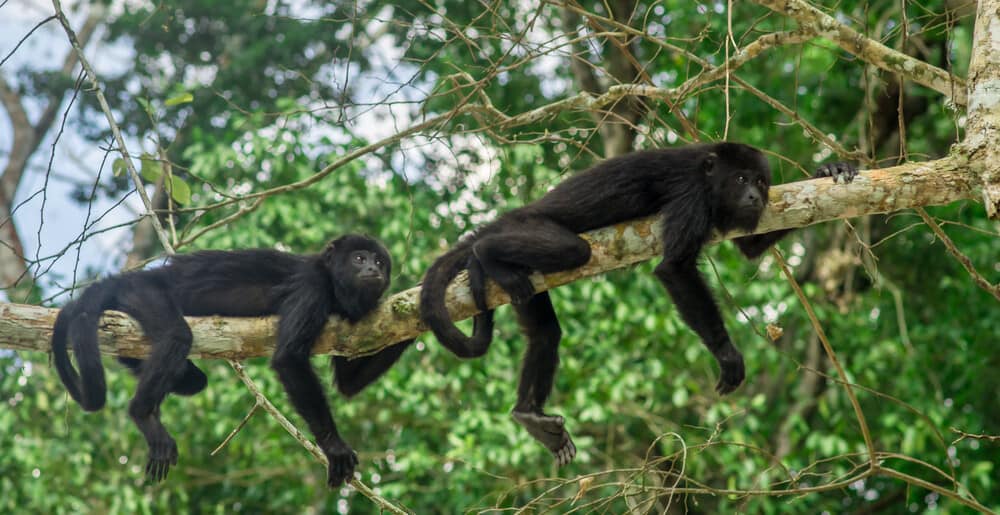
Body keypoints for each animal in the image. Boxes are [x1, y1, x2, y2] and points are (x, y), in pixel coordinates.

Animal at [49, 236, 410, 486]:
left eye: (380, 261)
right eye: (359, 258)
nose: (373, 269)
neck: (335, 285)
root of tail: (132, 276)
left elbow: (347, 384)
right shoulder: (313, 286)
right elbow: (289, 358)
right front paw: (334, 447)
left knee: (193, 380)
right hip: (144, 294)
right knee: (177, 336)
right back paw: (144, 414)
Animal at [422, 142, 860, 468]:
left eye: (761, 181)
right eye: (740, 179)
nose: (755, 196)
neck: (709, 176)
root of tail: (518, 212)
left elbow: (749, 248)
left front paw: (828, 169)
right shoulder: (691, 194)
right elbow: (674, 269)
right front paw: (727, 354)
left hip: (526, 285)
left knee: (545, 333)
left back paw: (528, 414)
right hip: (529, 227)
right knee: (572, 250)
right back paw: (483, 253)